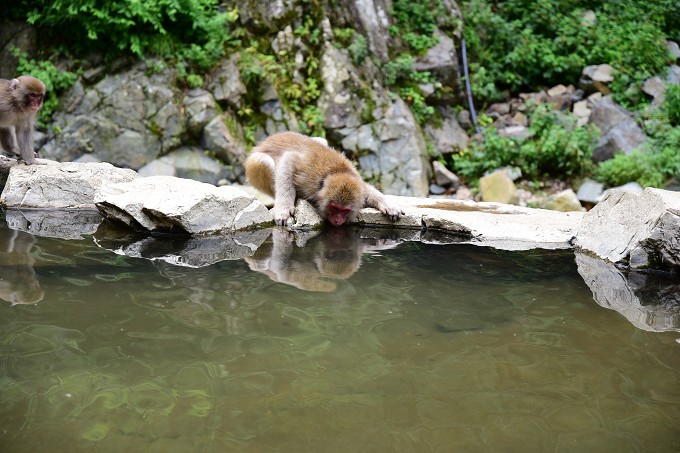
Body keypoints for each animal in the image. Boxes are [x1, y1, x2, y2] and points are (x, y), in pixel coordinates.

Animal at [244, 131, 404, 226]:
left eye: (345, 210)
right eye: (334, 207)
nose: (338, 221)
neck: (336, 172)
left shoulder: (358, 184)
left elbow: (368, 190)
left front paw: (389, 205)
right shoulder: (308, 176)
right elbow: (288, 159)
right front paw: (283, 209)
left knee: (322, 140)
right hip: (253, 164)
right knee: (262, 161)